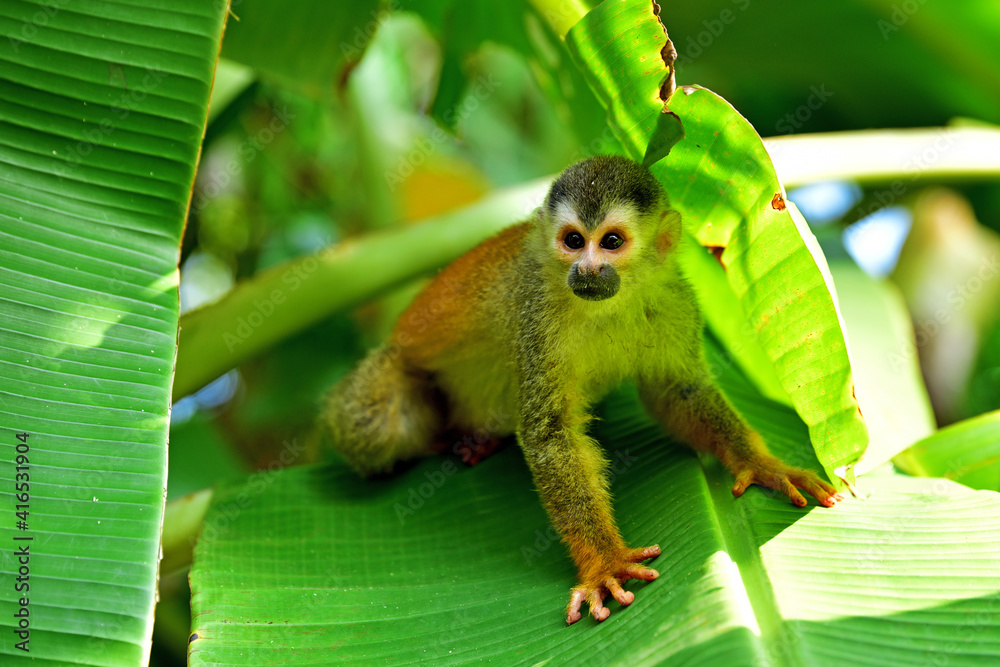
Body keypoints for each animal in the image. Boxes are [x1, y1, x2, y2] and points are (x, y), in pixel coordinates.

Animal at [322, 154, 842, 625]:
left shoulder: (673, 297)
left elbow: (679, 391)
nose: (587, 269)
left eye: (610, 242)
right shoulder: (536, 313)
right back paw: (443, 440)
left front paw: (761, 463)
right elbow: (550, 433)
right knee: (370, 422)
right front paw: (604, 562)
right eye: (573, 241)